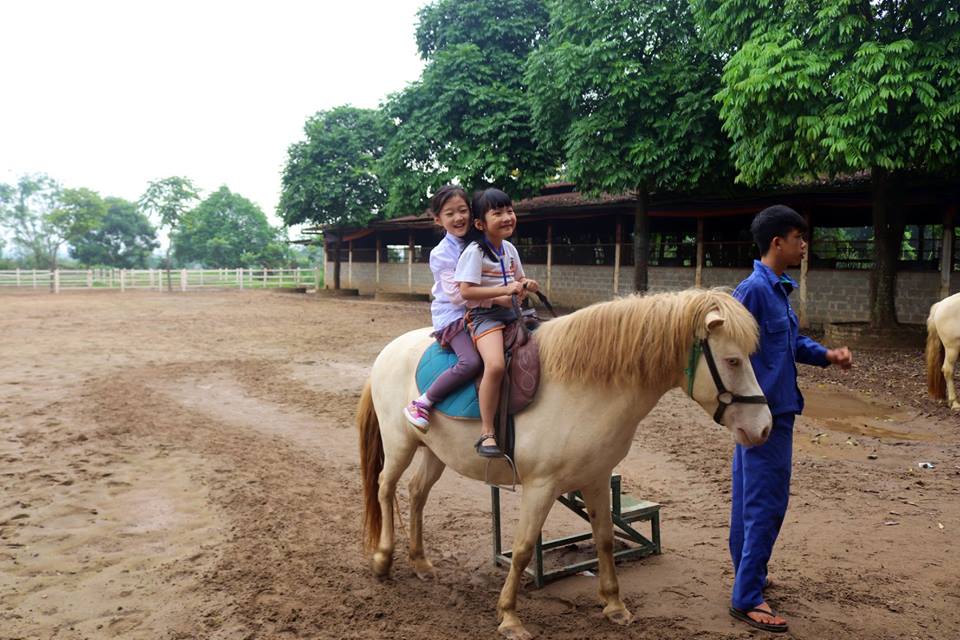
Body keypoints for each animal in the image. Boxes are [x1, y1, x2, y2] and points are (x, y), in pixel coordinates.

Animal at [356, 290, 768, 640]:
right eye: (733, 360)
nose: (764, 428)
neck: (585, 387)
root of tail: (388, 352)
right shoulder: (541, 486)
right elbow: (523, 548)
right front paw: (509, 617)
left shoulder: (597, 478)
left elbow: (604, 539)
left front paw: (614, 606)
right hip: (400, 444)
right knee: (385, 487)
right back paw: (383, 559)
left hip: (433, 451)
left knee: (416, 494)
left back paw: (421, 564)